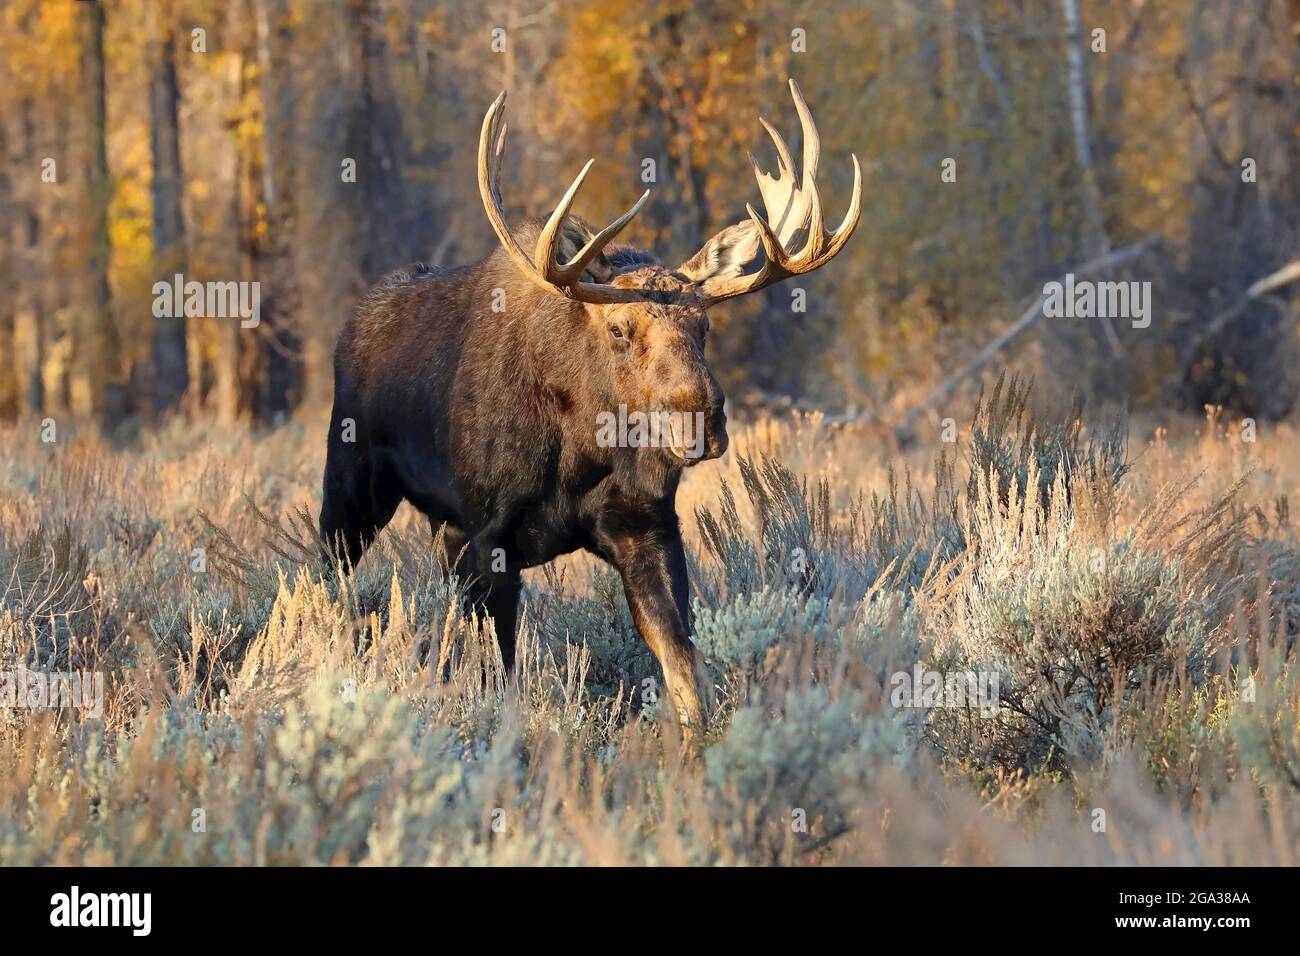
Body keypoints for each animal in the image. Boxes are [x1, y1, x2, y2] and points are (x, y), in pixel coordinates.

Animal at [319, 80, 857, 733]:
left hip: (442, 527)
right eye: (620, 328)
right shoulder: (489, 534)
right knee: (330, 581)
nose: (700, 420)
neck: (579, 451)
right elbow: (500, 676)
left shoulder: (647, 526)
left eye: (703, 326)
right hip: (352, 483)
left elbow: (685, 671)